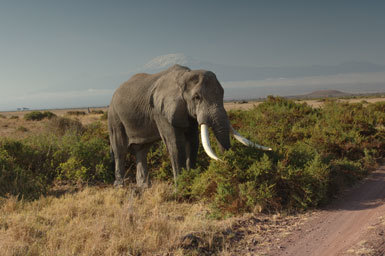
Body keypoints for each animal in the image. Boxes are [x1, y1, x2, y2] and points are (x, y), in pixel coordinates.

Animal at [107, 64, 270, 188]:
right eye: (197, 97)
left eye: (223, 94)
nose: (225, 163)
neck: (183, 76)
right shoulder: (161, 112)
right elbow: (175, 144)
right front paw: (181, 188)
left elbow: (193, 141)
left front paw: (191, 181)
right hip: (114, 116)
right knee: (120, 149)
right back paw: (120, 187)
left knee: (142, 149)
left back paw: (144, 187)